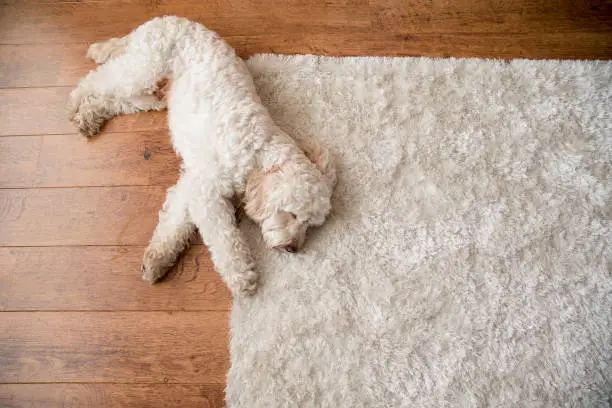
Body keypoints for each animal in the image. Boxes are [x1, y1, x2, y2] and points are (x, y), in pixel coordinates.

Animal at [69, 16, 338, 296]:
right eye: (292, 214)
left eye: (310, 225)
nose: (293, 248)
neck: (257, 153)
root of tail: (166, 19)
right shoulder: (207, 191)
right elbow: (225, 238)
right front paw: (241, 276)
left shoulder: (191, 183)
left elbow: (174, 223)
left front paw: (158, 259)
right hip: (142, 69)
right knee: (97, 79)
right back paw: (76, 100)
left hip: (151, 93)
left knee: (114, 100)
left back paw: (88, 116)